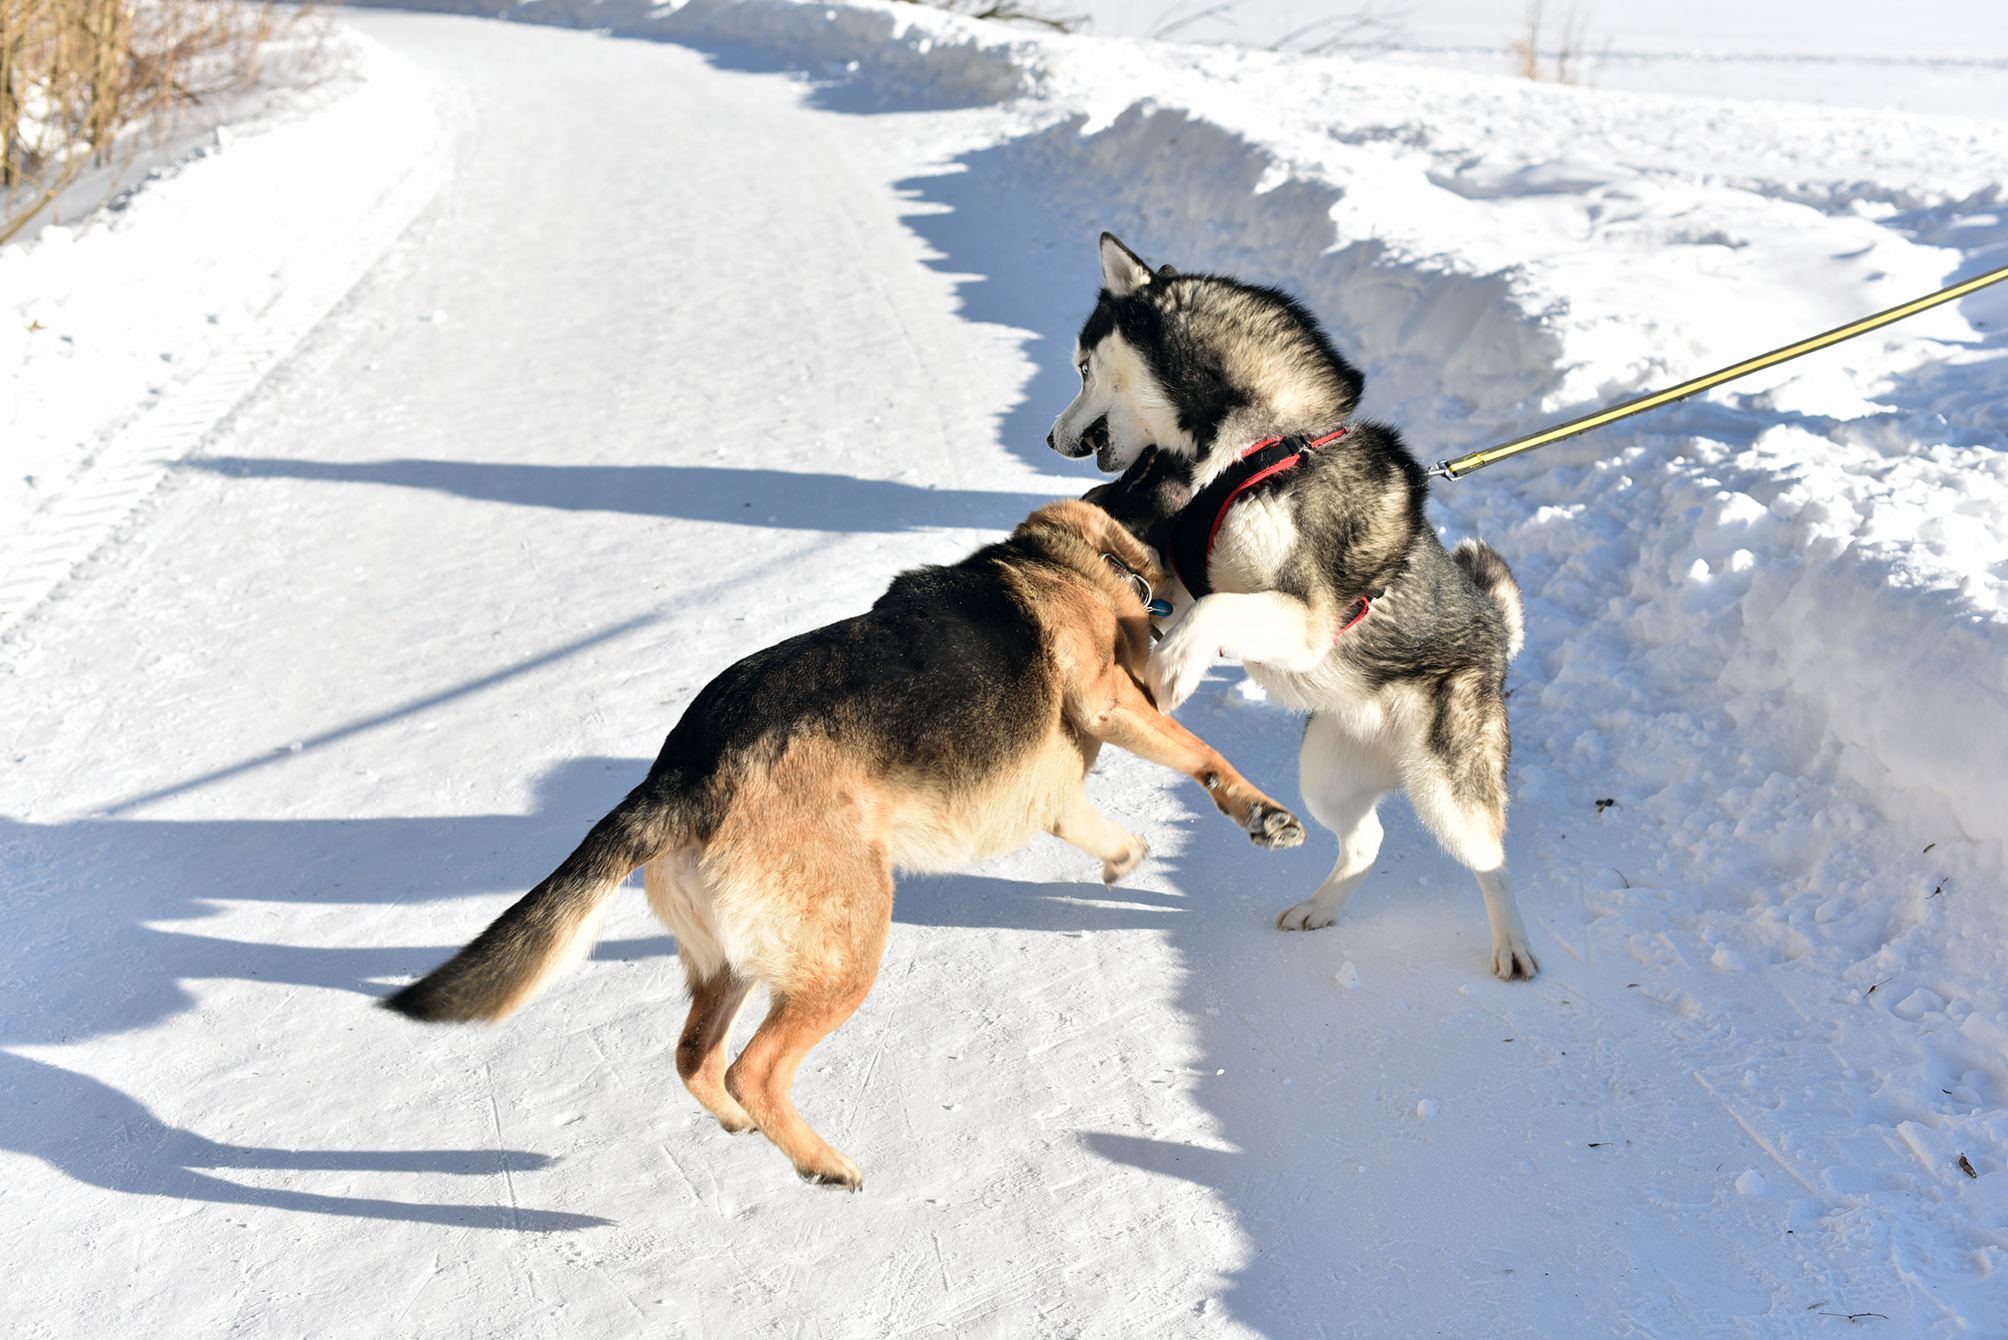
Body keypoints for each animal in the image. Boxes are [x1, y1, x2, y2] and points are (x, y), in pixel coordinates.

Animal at [383, 500, 1309, 1181]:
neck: (1066, 556)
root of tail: (680, 777)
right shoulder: (1111, 703)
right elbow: (1203, 753)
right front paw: (1261, 813)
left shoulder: (1055, 791)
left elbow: (1095, 824)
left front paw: (1128, 858)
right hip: (849, 945)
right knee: (753, 1067)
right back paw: (823, 1163)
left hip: (738, 959)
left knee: (694, 1057)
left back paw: (741, 1125)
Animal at [1052, 236, 1534, 980]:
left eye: (1082, 367)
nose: (1052, 439)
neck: (1260, 446)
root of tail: (1493, 629)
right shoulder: (1178, 575)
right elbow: (1181, 596)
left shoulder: (1306, 618)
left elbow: (1217, 609)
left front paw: (1176, 666)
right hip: (1326, 774)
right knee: (1367, 839)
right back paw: (1320, 909)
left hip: (1449, 787)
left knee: (1493, 860)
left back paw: (1512, 944)